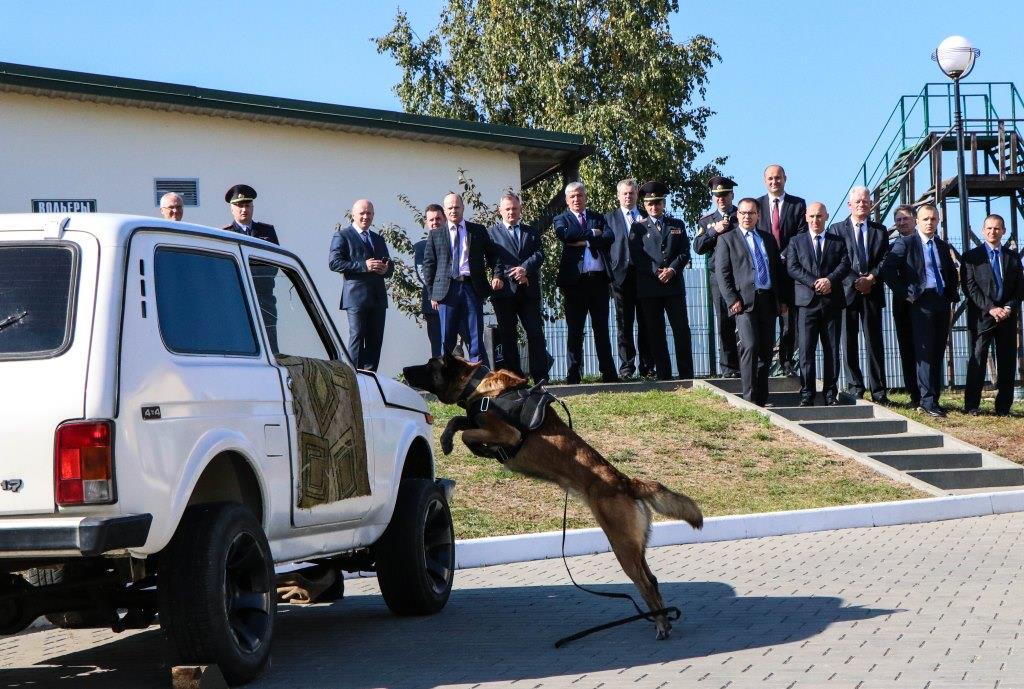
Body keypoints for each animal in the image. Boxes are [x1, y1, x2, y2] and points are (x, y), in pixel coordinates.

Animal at [401, 354, 704, 638]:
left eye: (429, 364)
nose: (403, 370)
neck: (479, 385)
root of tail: (626, 483)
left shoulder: (507, 433)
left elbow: (469, 434)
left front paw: (479, 448)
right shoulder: (477, 420)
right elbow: (459, 421)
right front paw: (447, 440)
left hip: (622, 546)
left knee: (646, 584)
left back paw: (661, 625)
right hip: (634, 547)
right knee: (652, 580)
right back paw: (661, 620)